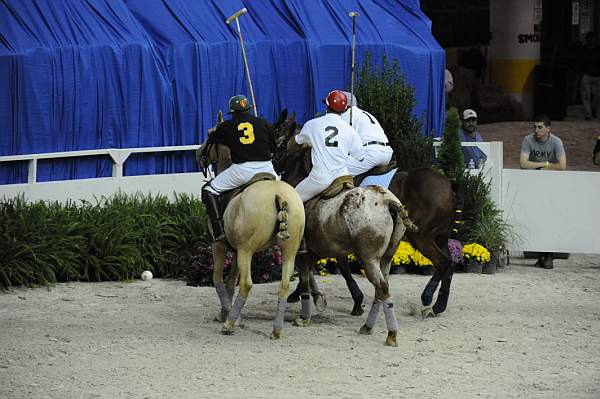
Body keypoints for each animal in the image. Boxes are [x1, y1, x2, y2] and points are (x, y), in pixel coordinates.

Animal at [197, 111, 304, 340]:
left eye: (209, 135)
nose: (196, 153)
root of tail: (278, 195)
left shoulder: (219, 245)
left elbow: (218, 279)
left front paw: (230, 316)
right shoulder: (236, 249)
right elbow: (230, 282)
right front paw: (227, 312)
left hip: (247, 250)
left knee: (246, 283)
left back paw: (229, 325)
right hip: (289, 250)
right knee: (284, 284)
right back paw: (276, 329)